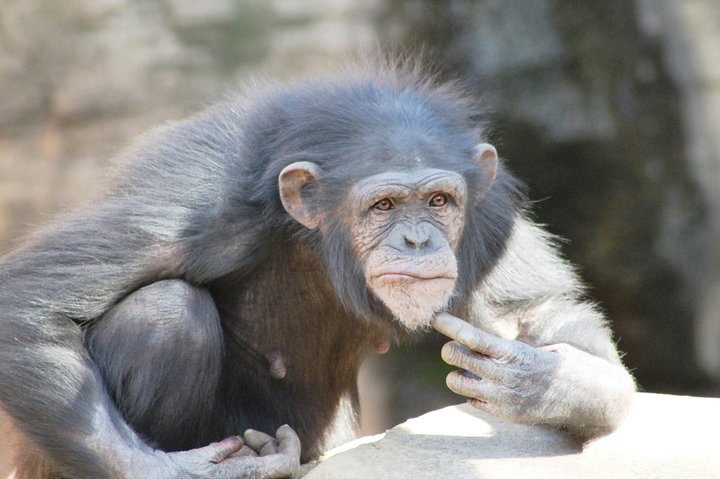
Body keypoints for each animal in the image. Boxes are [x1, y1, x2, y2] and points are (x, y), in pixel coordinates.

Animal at [0, 62, 632, 478]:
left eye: (438, 202)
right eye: (384, 206)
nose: (417, 238)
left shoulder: (490, 207)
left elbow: (537, 312)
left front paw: (547, 382)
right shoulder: (195, 199)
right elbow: (29, 306)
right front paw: (181, 473)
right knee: (164, 314)